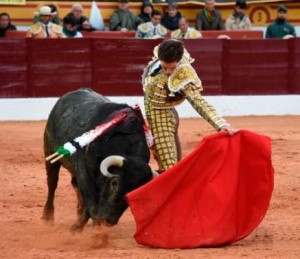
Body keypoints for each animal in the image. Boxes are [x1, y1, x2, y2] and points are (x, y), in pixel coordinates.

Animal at [41, 89, 155, 232]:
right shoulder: (84, 174)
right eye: (114, 183)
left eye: (134, 192)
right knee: (52, 183)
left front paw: (80, 226)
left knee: (75, 185)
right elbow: (92, 204)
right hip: (50, 151)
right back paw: (47, 217)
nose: (108, 221)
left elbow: (90, 205)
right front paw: (95, 232)